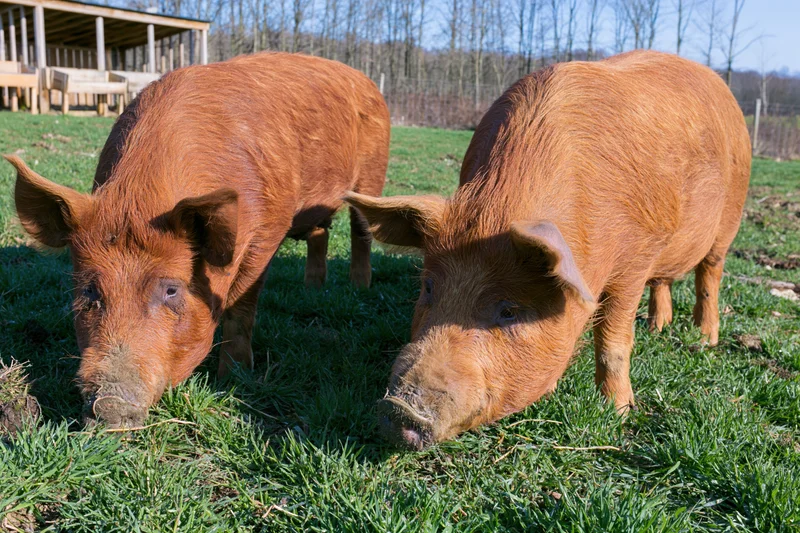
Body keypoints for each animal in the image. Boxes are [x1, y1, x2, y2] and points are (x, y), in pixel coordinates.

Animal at [7, 52, 390, 427]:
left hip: (373, 173)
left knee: (361, 229)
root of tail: (365, 80)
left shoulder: (269, 232)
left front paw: (233, 378)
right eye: (89, 290)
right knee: (320, 232)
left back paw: (360, 287)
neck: (139, 199)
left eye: (171, 289)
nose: (110, 404)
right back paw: (313, 290)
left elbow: (241, 307)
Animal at [346, 50, 751, 450]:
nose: (400, 410)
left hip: (730, 219)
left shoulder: (636, 259)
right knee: (664, 281)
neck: (497, 208)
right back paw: (657, 327)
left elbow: (614, 342)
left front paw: (618, 412)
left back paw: (705, 338)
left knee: (709, 275)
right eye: (428, 288)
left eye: (509, 311)